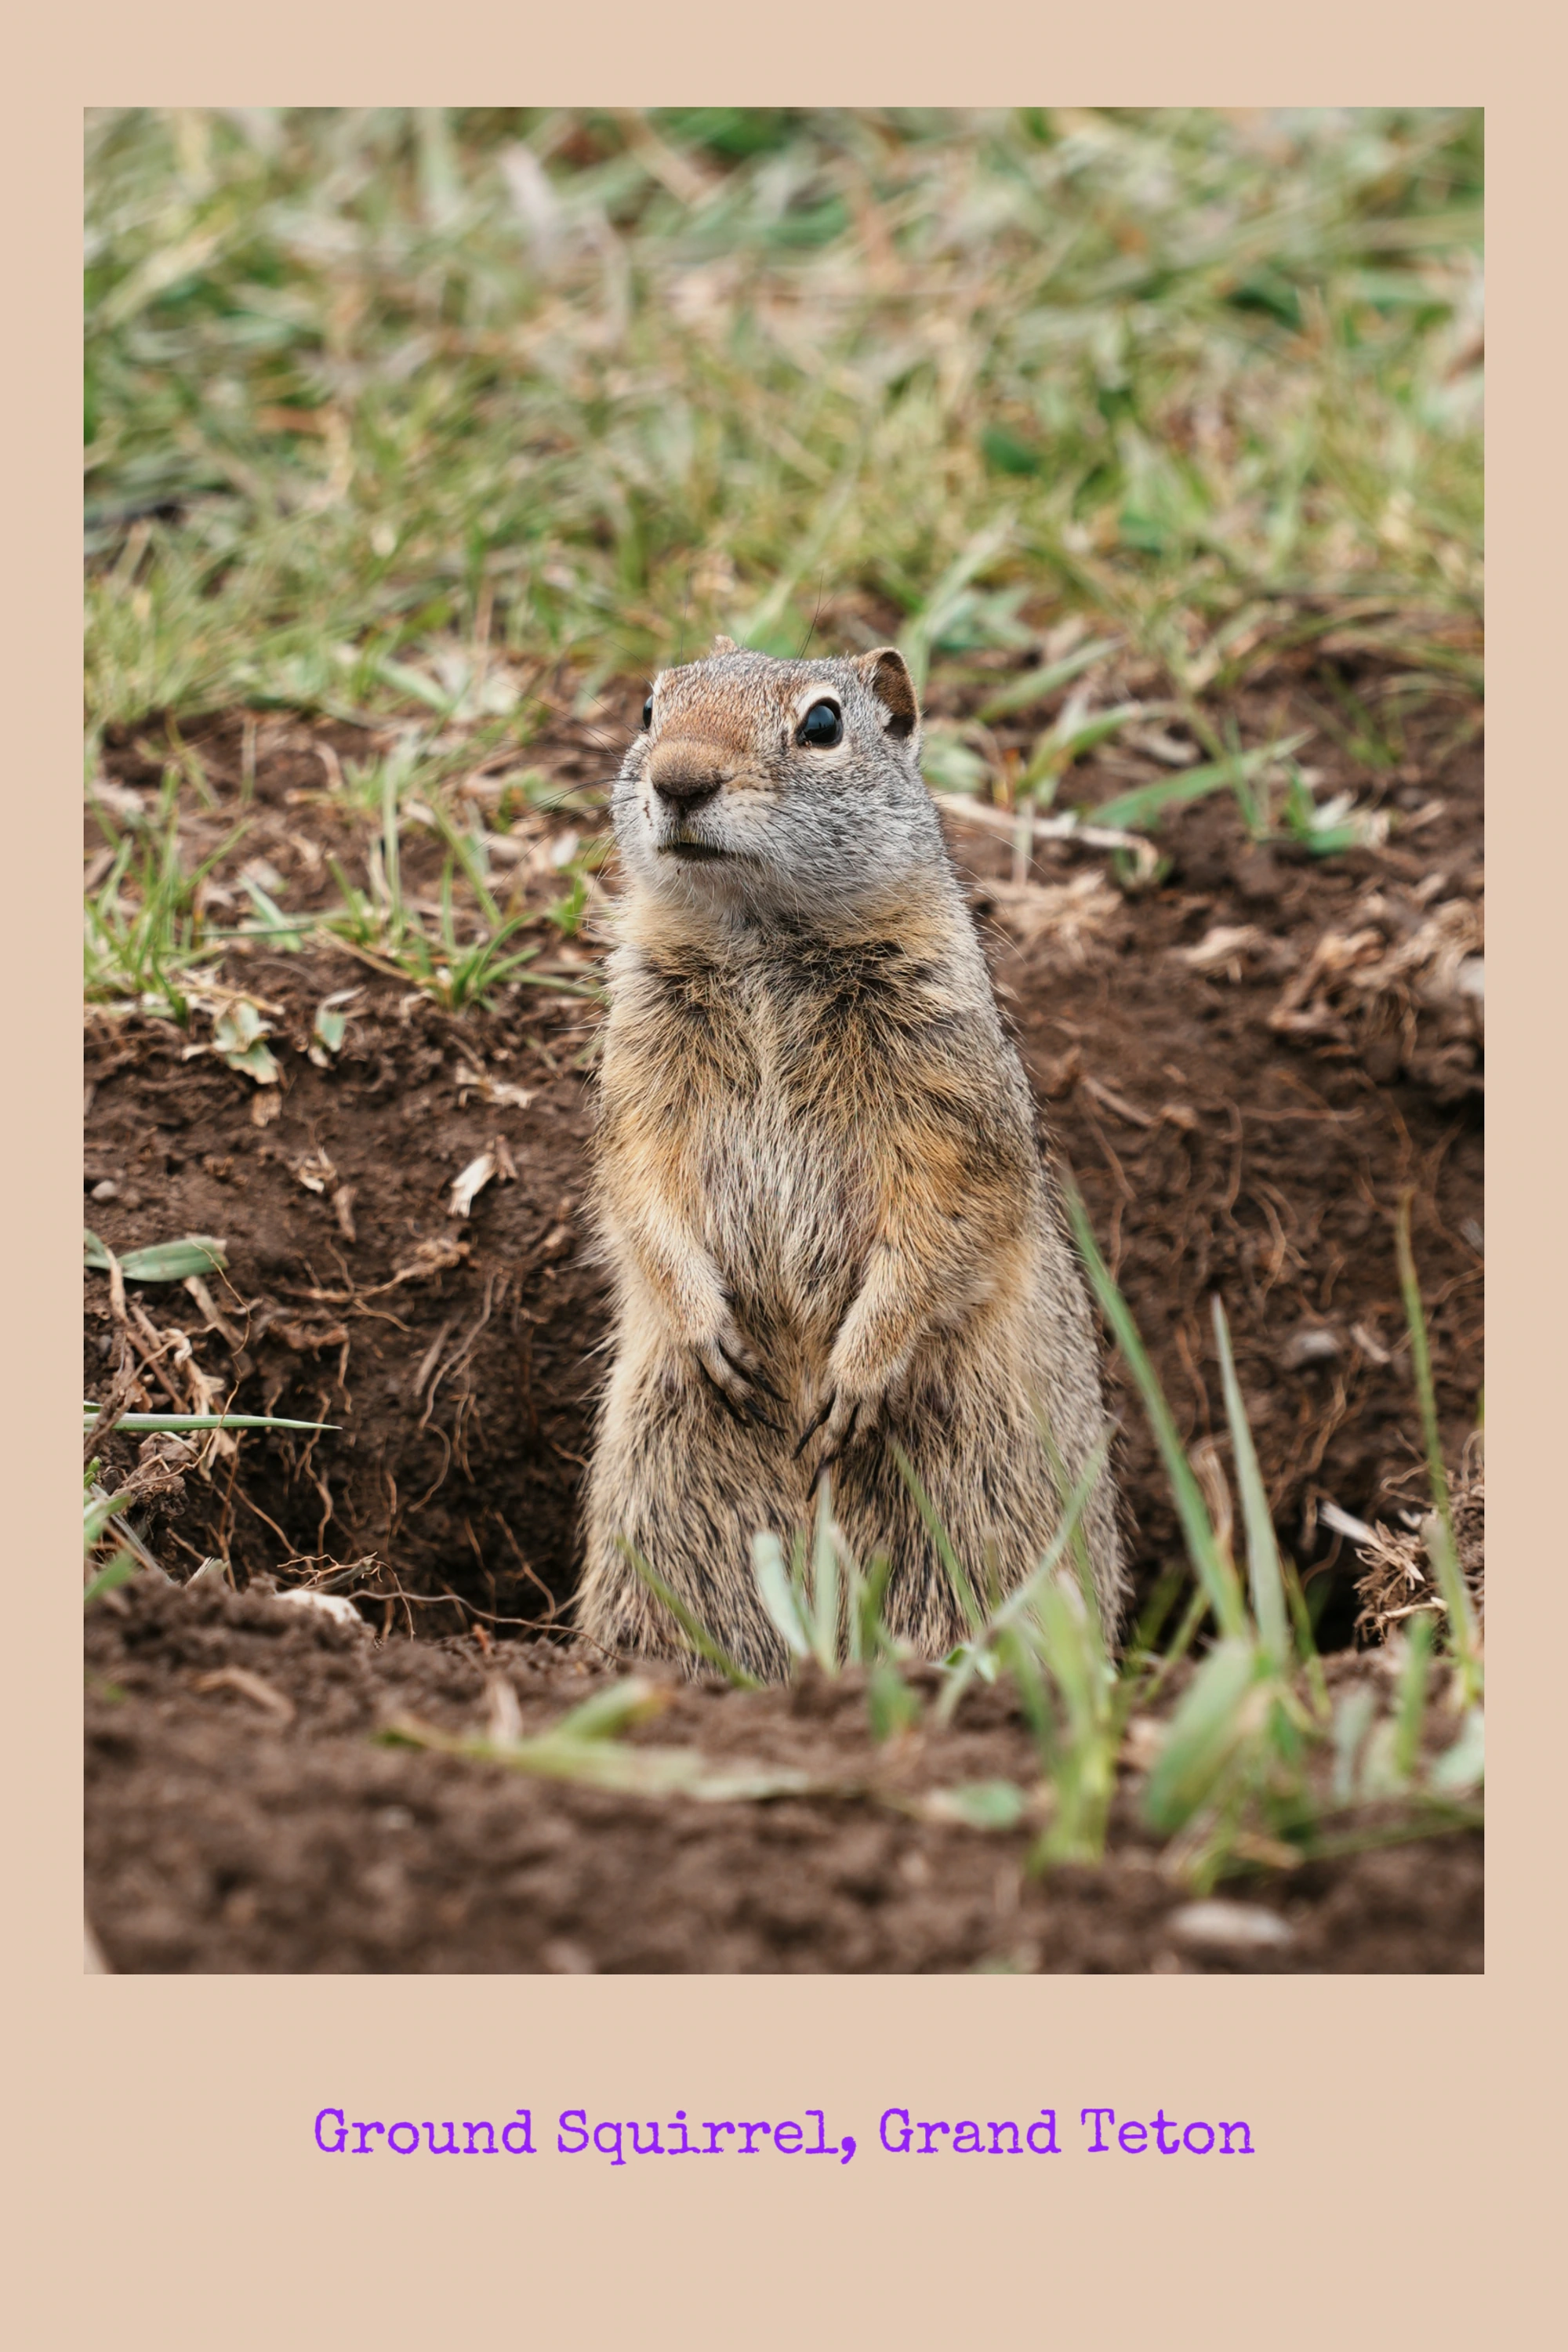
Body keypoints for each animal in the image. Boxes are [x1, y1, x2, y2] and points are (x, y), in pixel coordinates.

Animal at [576, 637, 1127, 1679]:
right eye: (647, 708)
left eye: (823, 723)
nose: (677, 778)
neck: (760, 941)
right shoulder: (640, 1075)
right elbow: (637, 1190)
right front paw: (709, 1334)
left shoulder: (947, 1096)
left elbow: (942, 1228)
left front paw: (852, 1380)